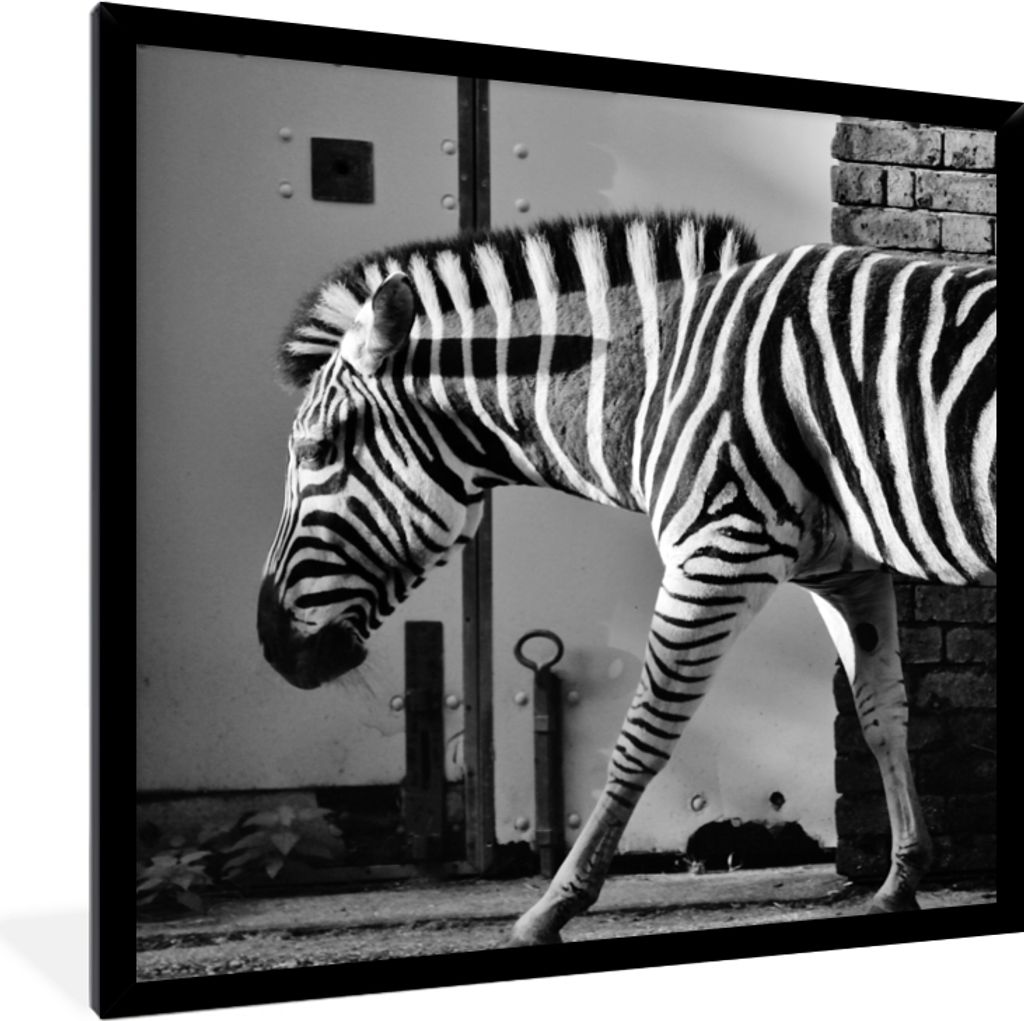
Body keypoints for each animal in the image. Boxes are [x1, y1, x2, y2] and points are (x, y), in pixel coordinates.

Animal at [257, 210, 996, 945]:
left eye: (315, 452)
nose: (271, 644)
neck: (658, 380)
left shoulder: (718, 549)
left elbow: (640, 736)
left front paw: (552, 906)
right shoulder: (847, 574)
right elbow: (881, 717)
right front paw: (901, 881)